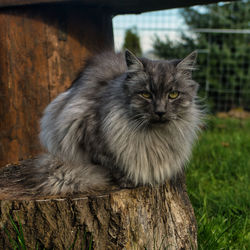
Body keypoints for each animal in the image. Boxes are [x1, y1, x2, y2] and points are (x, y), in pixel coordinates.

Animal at [20, 48, 203, 195]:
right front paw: (127, 181)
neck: (154, 136)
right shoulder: (87, 133)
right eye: (145, 94)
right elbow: (111, 163)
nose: (160, 112)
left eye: (173, 95)